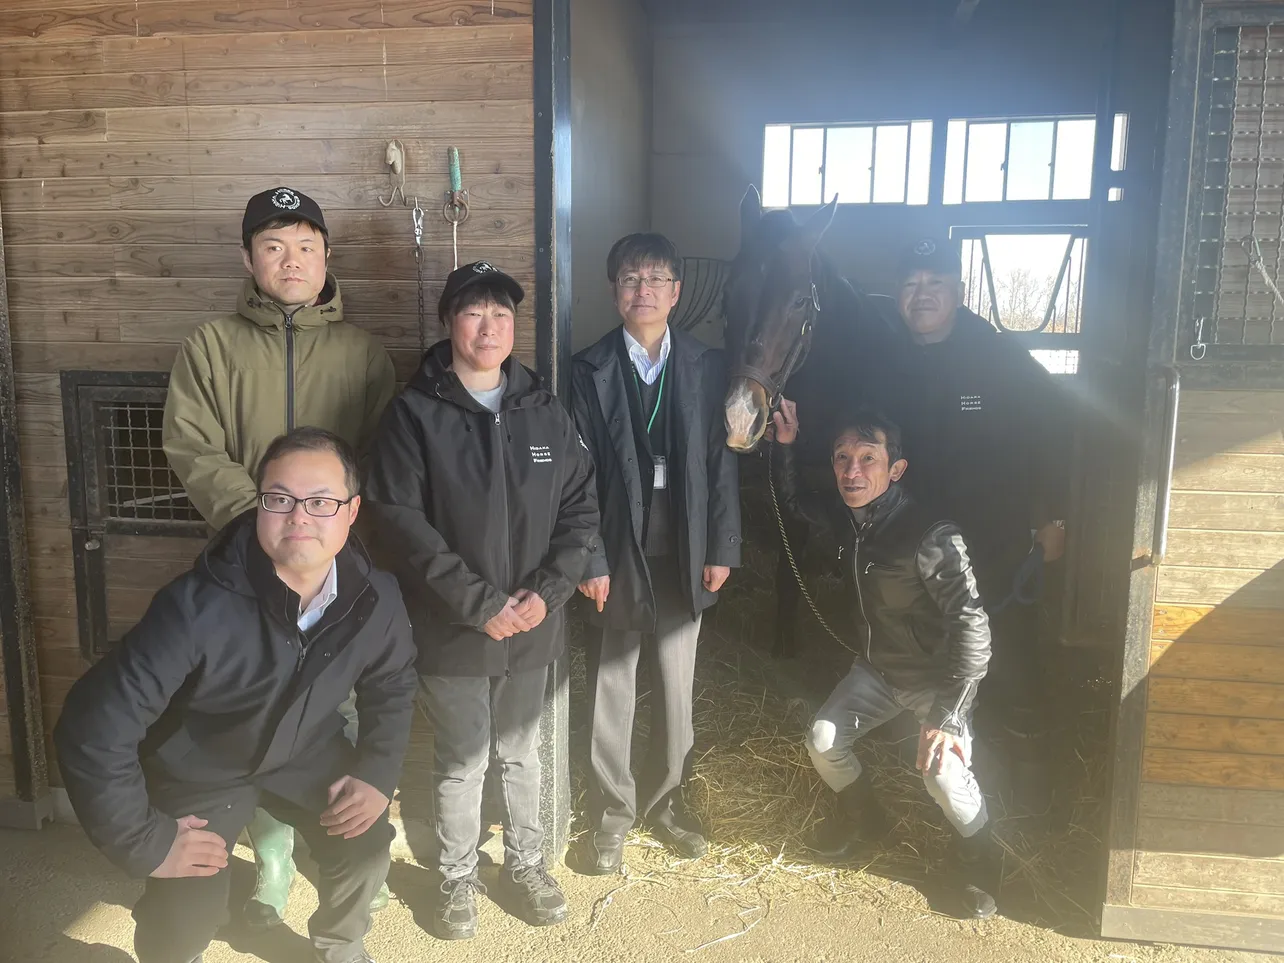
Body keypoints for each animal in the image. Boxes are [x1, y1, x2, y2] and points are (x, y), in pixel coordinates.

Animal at [719, 186, 909, 657]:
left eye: (801, 300)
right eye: (729, 294)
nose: (740, 417)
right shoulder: (792, 488)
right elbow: (789, 571)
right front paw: (784, 644)